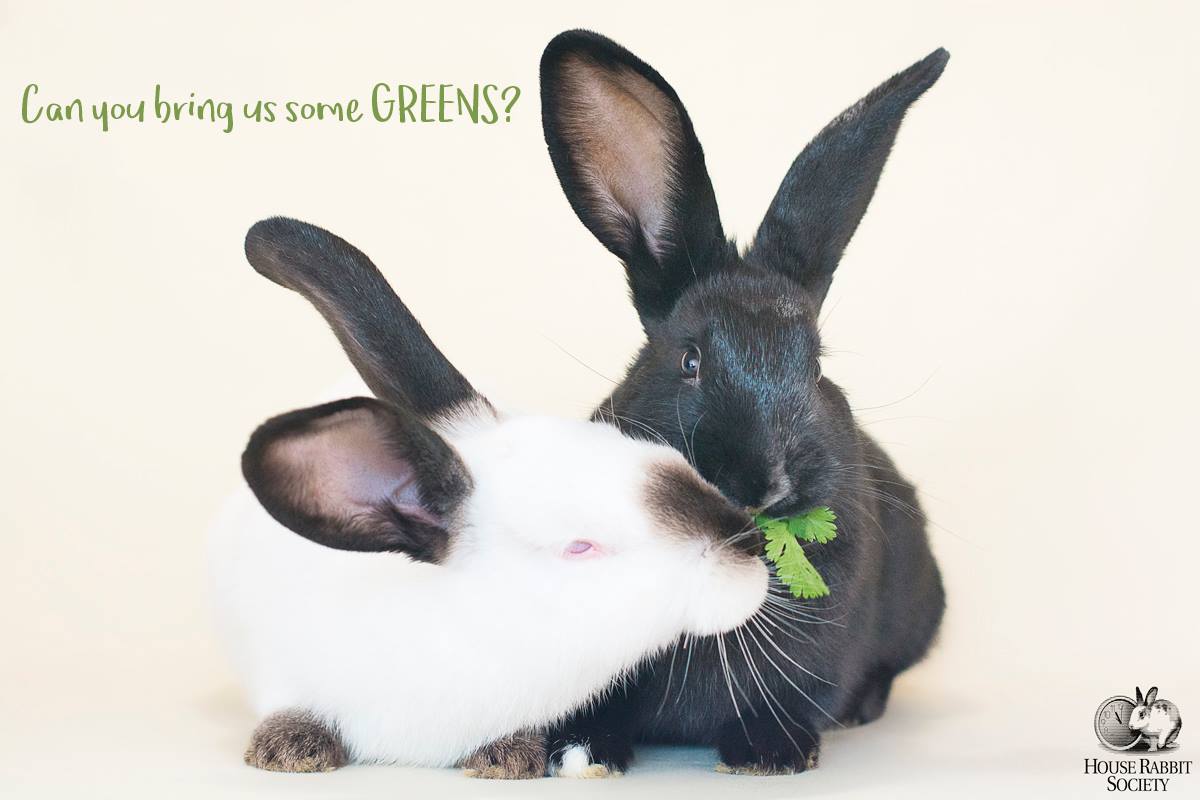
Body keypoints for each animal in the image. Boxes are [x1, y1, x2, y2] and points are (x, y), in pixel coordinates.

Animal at [529, 31, 949, 776]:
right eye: (689, 361)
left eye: (815, 367)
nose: (764, 483)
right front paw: (580, 752)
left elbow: (792, 696)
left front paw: (769, 754)